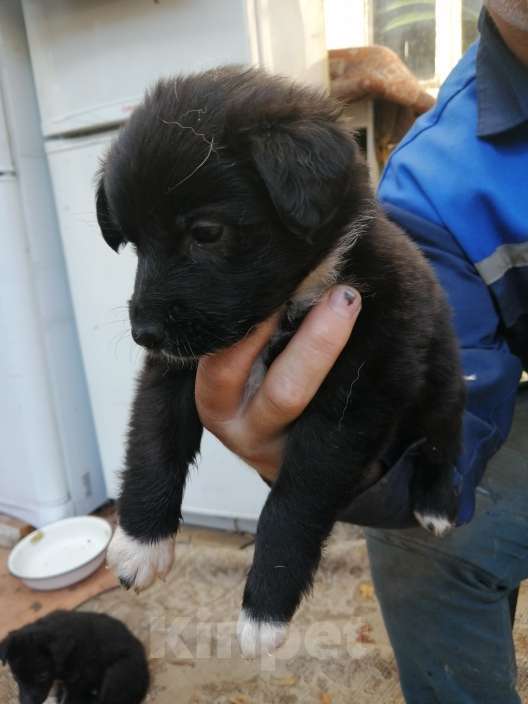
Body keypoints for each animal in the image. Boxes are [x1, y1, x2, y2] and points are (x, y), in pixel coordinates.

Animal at [0, 612, 148, 704]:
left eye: (42, 676)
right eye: (15, 677)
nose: (26, 702)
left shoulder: (81, 678)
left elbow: (72, 697)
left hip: (118, 672)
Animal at [98, 69, 462, 656]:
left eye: (206, 232)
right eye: (134, 245)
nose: (143, 333)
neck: (298, 296)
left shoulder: (354, 400)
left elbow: (295, 500)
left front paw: (265, 607)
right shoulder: (178, 366)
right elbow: (154, 441)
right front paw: (140, 542)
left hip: (442, 380)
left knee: (443, 438)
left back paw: (435, 501)